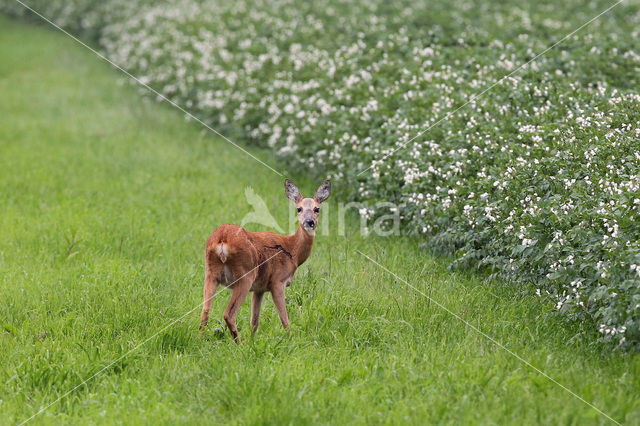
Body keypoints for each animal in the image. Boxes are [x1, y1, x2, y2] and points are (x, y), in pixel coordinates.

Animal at [199, 178, 330, 342]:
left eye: (317, 209)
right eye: (298, 209)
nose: (309, 221)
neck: (293, 251)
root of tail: (222, 240)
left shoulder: (259, 288)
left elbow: (254, 321)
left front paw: (252, 342)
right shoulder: (277, 281)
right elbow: (284, 319)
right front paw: (291, 340)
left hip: (211, 273)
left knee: (205, 311)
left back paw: (201, 339)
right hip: (245, 275)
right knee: (228, 314)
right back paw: (239, 343)